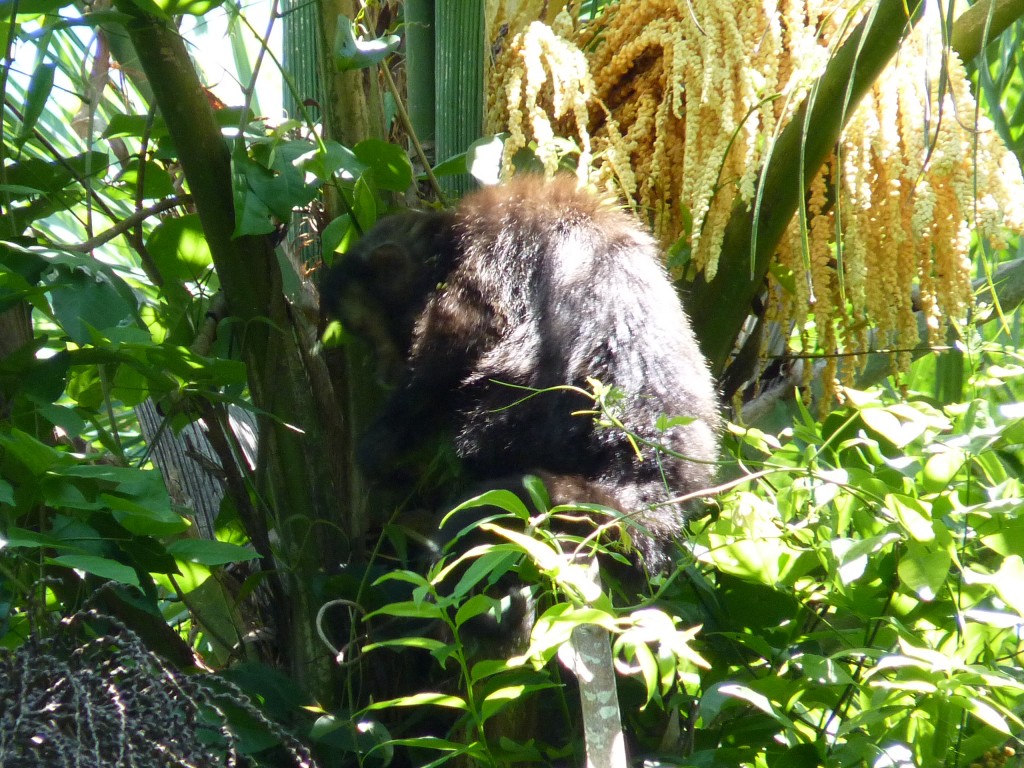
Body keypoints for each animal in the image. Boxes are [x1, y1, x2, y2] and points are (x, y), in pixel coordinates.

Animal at [319, 176, 720, 573]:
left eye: (367, 332)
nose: (377, 367)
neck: (447, 247)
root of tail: (644, 476)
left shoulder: (483, 256)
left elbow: (468, 334)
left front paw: (380, 449)